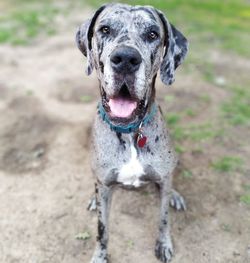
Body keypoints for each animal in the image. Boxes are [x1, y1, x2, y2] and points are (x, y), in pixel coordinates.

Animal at [75, 2, 188, 263]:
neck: (130, 131)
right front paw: (99, 255)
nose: (126, 58)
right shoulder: (104, 186)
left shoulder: (163, 181)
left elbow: (163, 218)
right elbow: (102, 229)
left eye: (153, 34)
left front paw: (164, 244)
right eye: (105, 29)